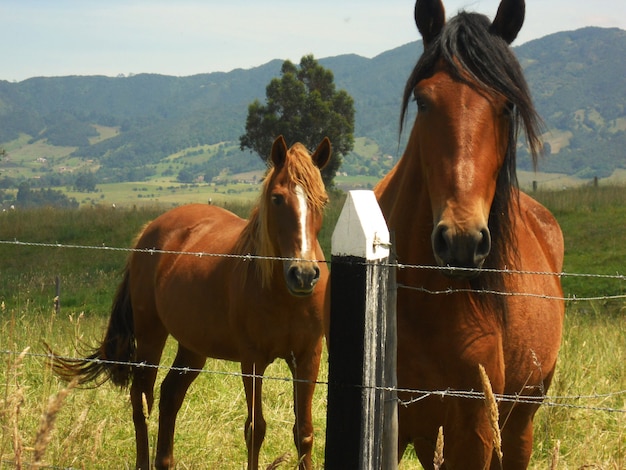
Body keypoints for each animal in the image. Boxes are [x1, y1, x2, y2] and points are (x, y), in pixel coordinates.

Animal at [50, 136, 332, 470]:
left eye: (322, 201)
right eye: (277, 198)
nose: (303, 274)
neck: (282, 293)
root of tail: (148, 230)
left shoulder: (308, 356)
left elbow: (304, 432)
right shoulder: (252, 360)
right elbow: (255, 429)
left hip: (193, 348)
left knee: (169, 396)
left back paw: (165, 461)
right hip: (150, 337)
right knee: (141, 398)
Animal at [372, 1, 564, 468]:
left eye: (507, 106)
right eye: (423, 101)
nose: (461, 241)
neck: (421, 298)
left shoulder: (474, 430)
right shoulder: (394, 423)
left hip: (516, 427)